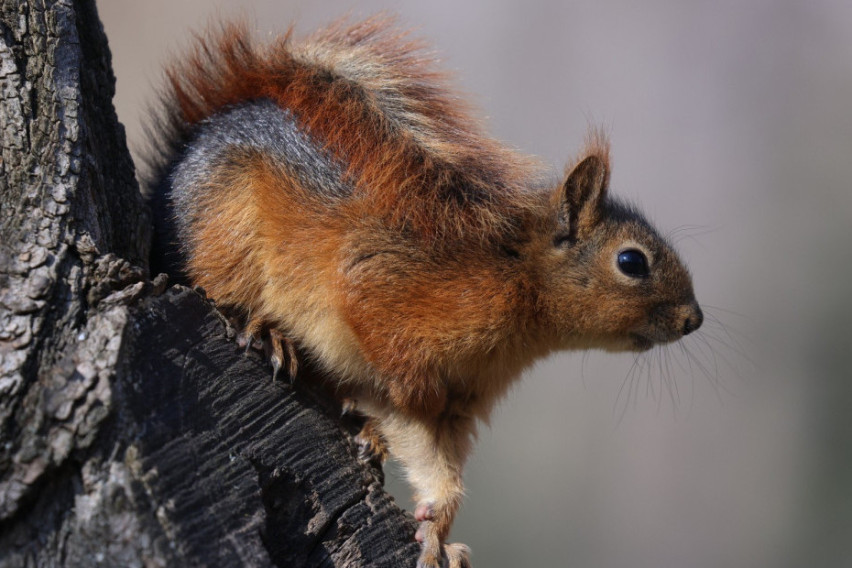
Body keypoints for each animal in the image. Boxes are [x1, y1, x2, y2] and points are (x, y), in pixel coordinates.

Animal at [146, 16, 702, 568]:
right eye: (632, 262)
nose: (693, 320)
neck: (518, 285)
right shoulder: (384, 284)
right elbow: (388, 354)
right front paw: (400, 404)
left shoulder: (458, 406)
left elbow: (439, 467)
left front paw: (438, 535)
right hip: (226, 231)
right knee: (218, 285)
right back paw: (266, 331)